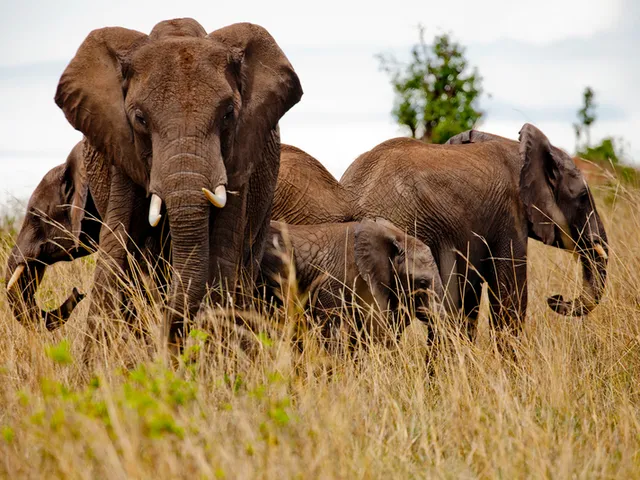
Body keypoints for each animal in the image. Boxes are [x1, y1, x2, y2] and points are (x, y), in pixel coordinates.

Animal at [54, 18, 302, 347]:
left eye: (228, 114)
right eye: (140, 119)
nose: (167, 339)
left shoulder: (241, 152)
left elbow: (223, 253)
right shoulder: (121, 147)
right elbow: (115, 247)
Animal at [340, 123, 608, 343]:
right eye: (583, 197)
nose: (555, 299)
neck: (518, 149)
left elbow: (469, 303)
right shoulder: (510, 217)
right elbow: (509, 302)